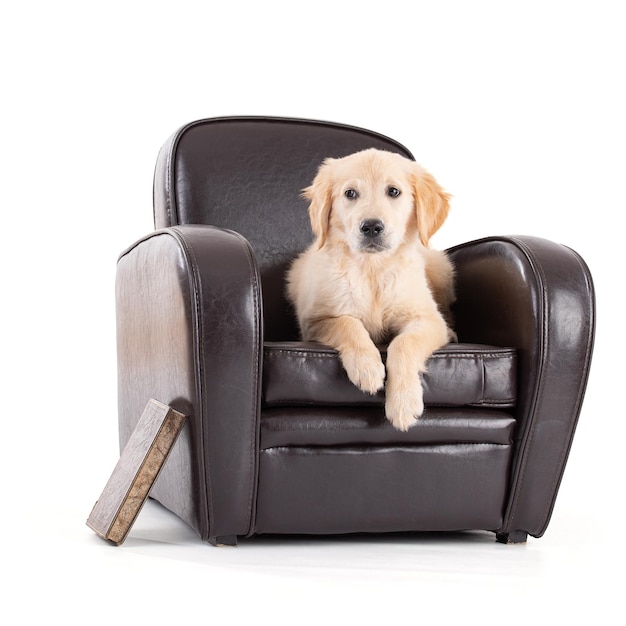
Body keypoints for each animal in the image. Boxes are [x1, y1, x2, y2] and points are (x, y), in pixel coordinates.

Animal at [286, 147, 454, 428]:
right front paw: (368, 368)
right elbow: (349, 324)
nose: (372, 227)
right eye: (350, 193)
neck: (372, 270)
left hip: (441, 268)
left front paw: (403, 403)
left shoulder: (428, 320)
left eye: (393, 191)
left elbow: (403, 343)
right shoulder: (315, 320)